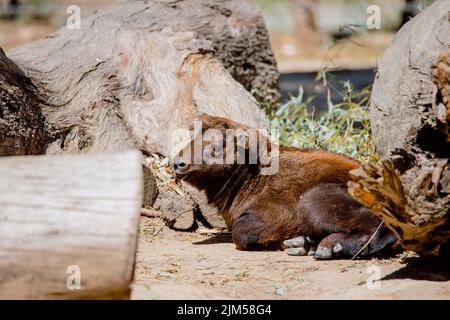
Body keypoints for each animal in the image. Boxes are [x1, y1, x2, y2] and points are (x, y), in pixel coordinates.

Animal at [173, 114, 398, 258]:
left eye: (217, 146)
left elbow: (240, 232)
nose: (178, 163)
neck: (254, 172)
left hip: (313, 200)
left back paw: (330, 248)